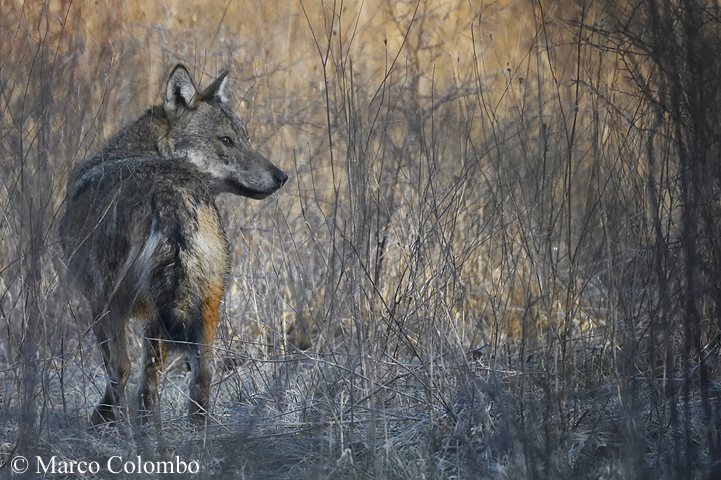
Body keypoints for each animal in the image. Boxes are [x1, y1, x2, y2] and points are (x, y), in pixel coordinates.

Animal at [60, 63, 286, 424]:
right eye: (227, 140)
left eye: (245, 139)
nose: (282, 176)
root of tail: (173, 190)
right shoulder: (158, 313)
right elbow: (151, 379)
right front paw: (146, 418)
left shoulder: (95, 302)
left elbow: (125, 371)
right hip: (205, 303)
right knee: (203, 374)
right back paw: (194, 430)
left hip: (112, 302)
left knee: (121, 368)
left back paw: (106, 423)